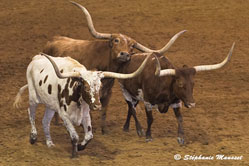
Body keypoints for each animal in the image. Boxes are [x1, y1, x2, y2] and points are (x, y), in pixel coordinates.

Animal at [13, 52, 158, 157]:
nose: (97, 106)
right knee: (31, 113)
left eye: (100, 87)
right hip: (33, 97)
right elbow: (74, 136)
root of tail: (35, 58)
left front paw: (81, 147)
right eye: (86, 88)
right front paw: (74, 153)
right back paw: (33, 137)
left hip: (50, 105)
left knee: (45, 121)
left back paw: (49, 143)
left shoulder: (85, 115)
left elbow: (89, 136)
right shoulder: (64, 115)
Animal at [42, 1, 184, 134]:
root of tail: (51, 41)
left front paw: (104, 130)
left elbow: (104, 111)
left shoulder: (107, 92)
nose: (125, 54)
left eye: (131, 46)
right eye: (116, 40)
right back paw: (57, 121)